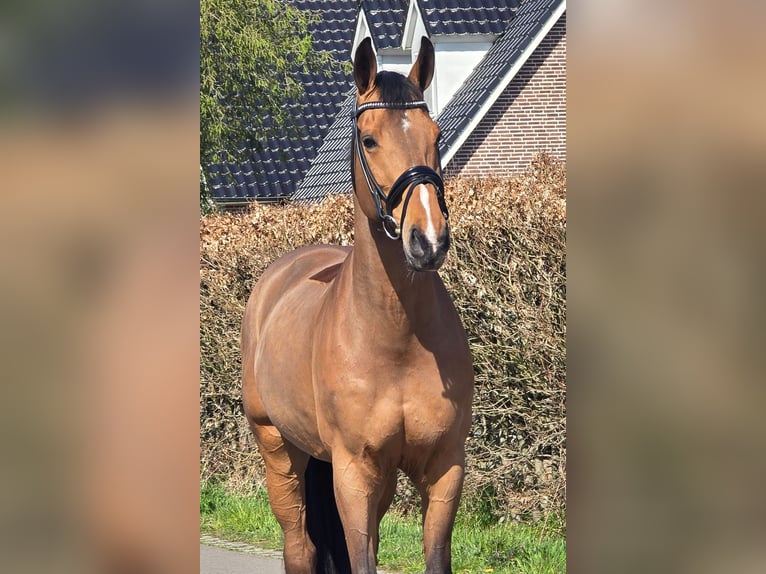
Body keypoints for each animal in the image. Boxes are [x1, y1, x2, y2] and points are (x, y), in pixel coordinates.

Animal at [241, 36, 474, 574]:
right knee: (299, 547)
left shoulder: (444, 466)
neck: (396, 337)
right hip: (278, 448)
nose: (427, 241)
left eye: (435, 134)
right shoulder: (352, 471)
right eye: (369, 140)